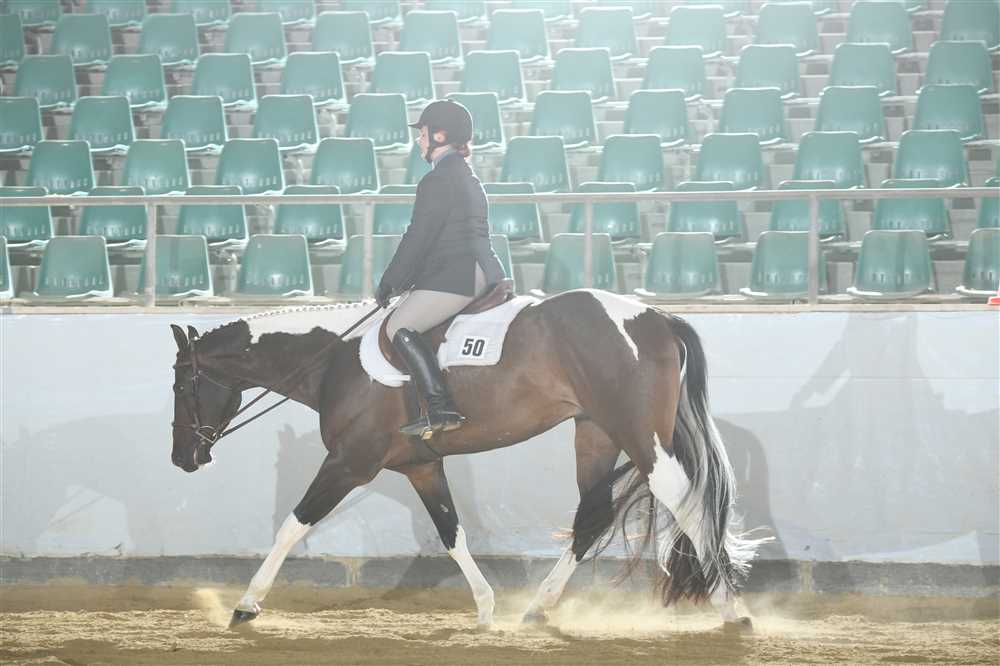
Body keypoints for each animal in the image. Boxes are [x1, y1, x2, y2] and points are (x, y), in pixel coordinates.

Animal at [168, 289, 767, 631]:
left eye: (180, 386)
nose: (182, 459)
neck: (332, 360)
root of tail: (658, 316)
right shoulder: (421, 466)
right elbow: (450, 530)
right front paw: (484, 608)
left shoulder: (350, 462)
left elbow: (293, 525)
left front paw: (246, 606)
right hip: (595, 433)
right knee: (592, 516)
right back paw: (537, 608)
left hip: (641, 436)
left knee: (684, 501)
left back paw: (733, 609)